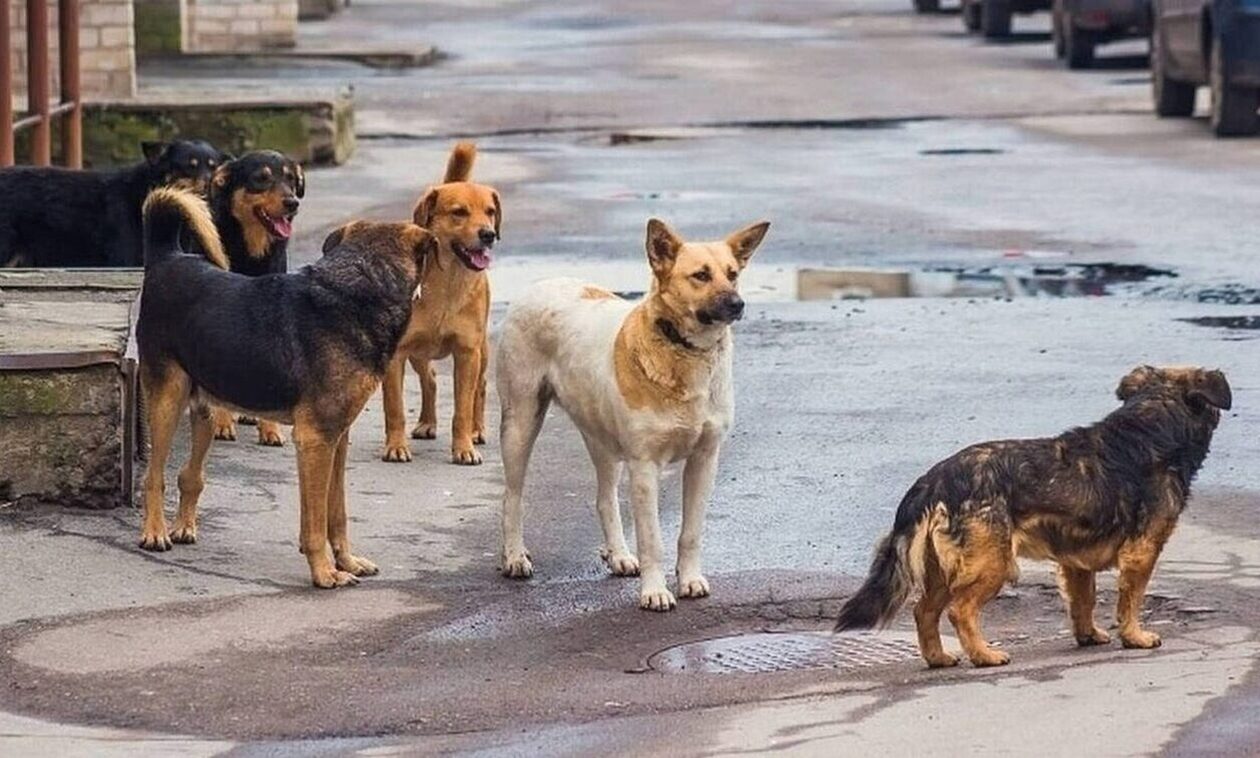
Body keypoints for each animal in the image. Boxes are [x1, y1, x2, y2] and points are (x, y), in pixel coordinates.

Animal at [135, 186, 435, 586]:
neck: (359, 286)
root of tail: (167, 258)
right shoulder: (315, 441)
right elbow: (315, 523)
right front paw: (324, 572)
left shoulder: (337, 439)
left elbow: (336, 513)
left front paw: (347, 561)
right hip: (167, 400)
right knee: (153, 476)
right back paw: (155, 532)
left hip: (206, 409)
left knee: (190, 475)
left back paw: (183, 526)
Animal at [380, 138, 498, 463]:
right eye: (459, 212)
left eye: (490, 211)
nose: (489, 234)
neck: (448, 283)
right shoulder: (396, 354)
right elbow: (394, 408)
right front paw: (396, 446)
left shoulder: (467, 353)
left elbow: (462, 409)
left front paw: (464, 447)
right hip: (418, 352)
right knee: (430, 378)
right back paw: (427, 423)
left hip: (482, 350)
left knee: (480, 387)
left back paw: (477, 430)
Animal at [491, 216, 766, 606]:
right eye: (700, 275)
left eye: (733, 274)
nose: (738, 304)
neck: (683, 350)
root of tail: (541, 284)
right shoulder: (645, 466)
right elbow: (652, 540)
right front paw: (655, 592)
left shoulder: (704, 460)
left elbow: (690, 533)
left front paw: (689, 580)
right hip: (520, 424)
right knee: (512, 497)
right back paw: (514, 556)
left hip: (602, 440)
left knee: (605, 499)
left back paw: (618, 554)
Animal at [836, 362, 1229, 664]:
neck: (1150, 425)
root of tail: (933, 480)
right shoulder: (1142, 552)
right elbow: (1130, 600)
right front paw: (1135, 637)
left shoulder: (1075, 562)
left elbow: (1083, 602)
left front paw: (1088, 635)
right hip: (993, 564)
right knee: (960, 610)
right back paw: (985, 655)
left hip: (941, 569)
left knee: (924, 611)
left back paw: (939, 658)